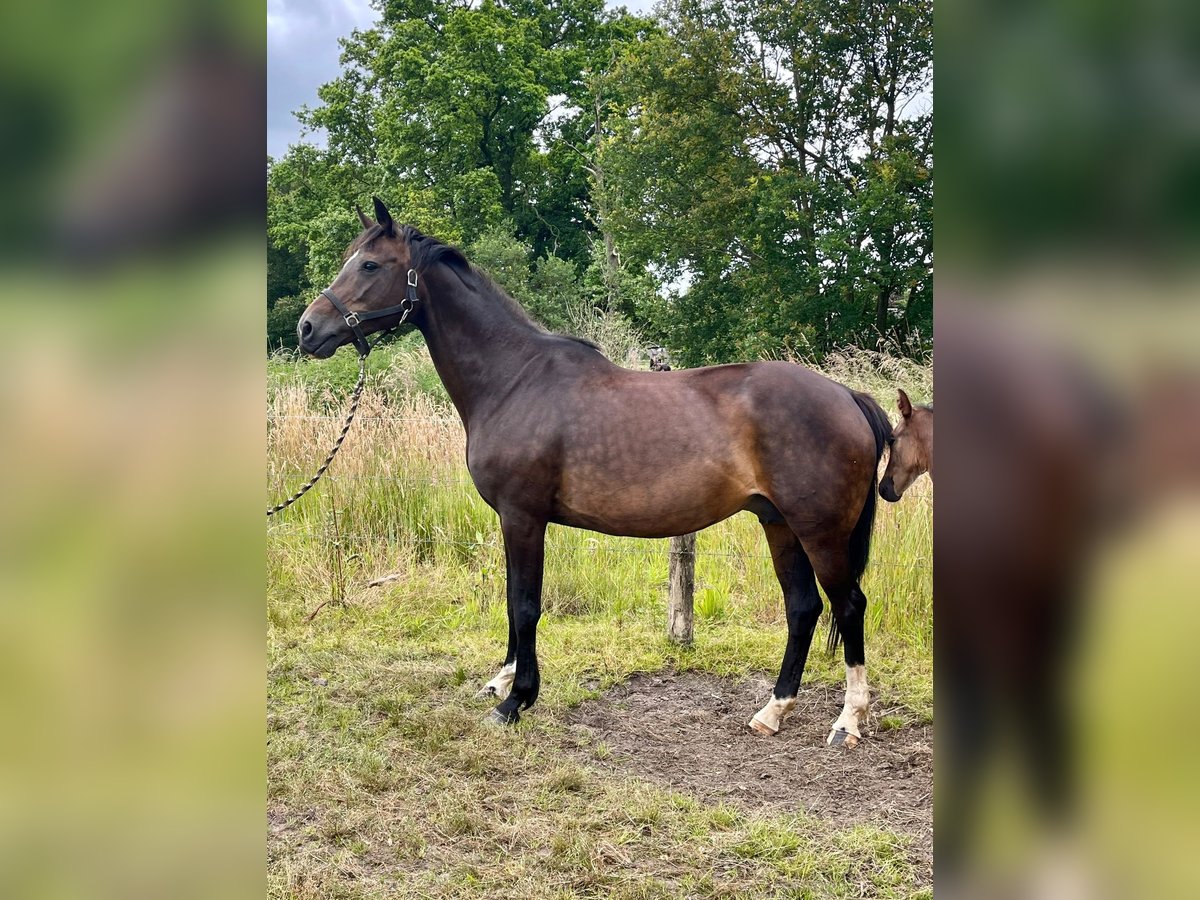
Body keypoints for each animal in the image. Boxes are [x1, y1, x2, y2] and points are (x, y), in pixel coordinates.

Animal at [297, 196, 892, 748]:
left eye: (369, 264)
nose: (307, 329)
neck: (514, 379)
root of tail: (848, 395)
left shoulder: (522, 517)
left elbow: (526, 603)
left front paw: (516, 700)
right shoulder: (514, 521)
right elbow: (513, 598)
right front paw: (503, 680)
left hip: (819, 531)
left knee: (849, 604)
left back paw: (849, 720)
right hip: (778, 523)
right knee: (804, 607)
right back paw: (773, 711)